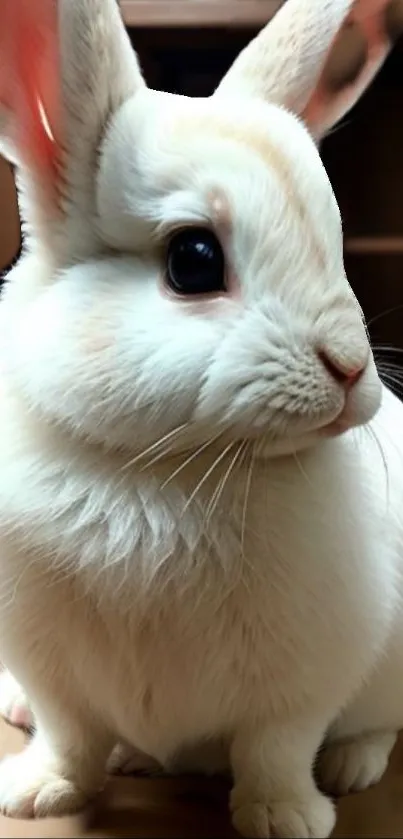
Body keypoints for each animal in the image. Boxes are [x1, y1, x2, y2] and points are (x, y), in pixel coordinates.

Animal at [0, 0, 403, 836]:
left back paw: (350, 768)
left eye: (334, 239)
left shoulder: (305, 680)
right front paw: (39, 793)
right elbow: (68, 736)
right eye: (192, 260)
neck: (160, 469)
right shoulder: (50, 673)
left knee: (375, 724)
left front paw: (284, 817)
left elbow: (276, 747)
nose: (350, 369)